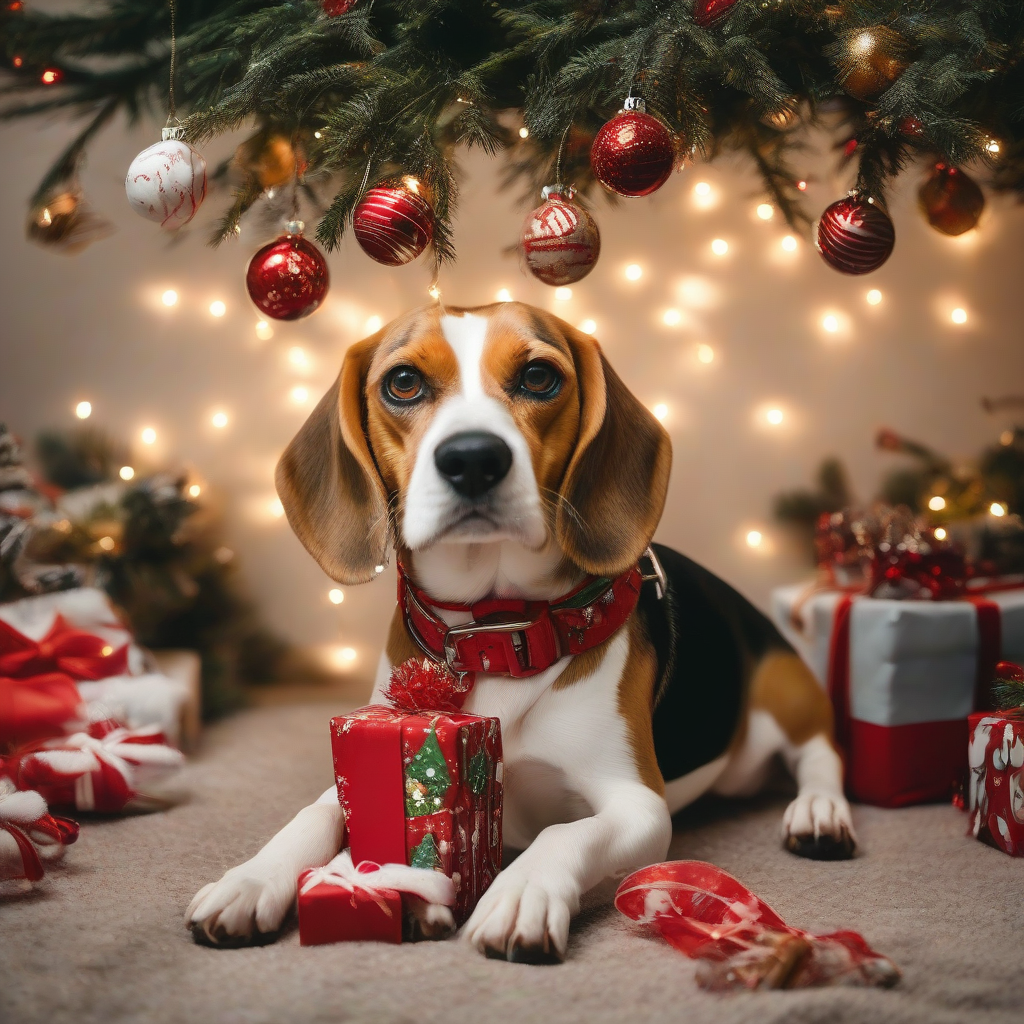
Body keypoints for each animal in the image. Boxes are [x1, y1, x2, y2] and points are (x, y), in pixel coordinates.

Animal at [186, 301, 856, 958]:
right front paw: (252, 879)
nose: (473, 458)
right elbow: (314, 814)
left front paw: (520, 894)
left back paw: (820, 814)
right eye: (403, 383)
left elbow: (564, 832)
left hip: (788, 691)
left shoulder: (639, 803)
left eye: (538, 376)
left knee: (821, 754)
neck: (493, 635)